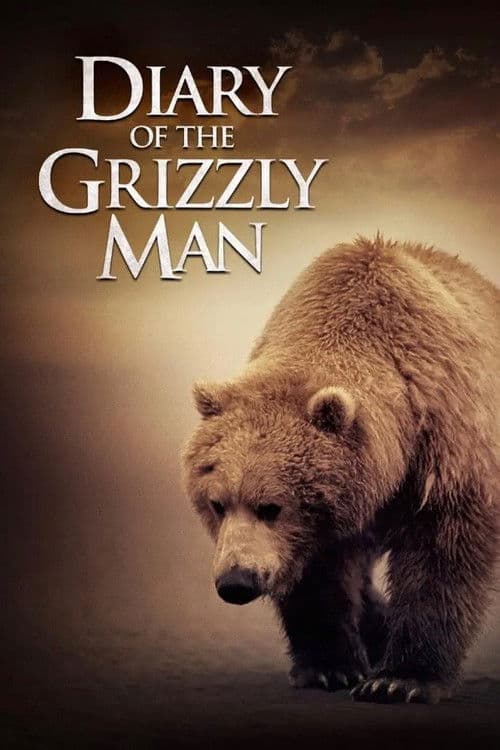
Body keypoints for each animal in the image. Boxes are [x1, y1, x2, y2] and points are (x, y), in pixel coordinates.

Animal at [183, 235, 500, 704]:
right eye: (218, 503)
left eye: (270, 507)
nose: (237, 581)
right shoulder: (326, 514)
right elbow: (318, 572)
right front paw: (330, 667)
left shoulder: (445, 440)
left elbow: (442, 550)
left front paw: (401, 678)